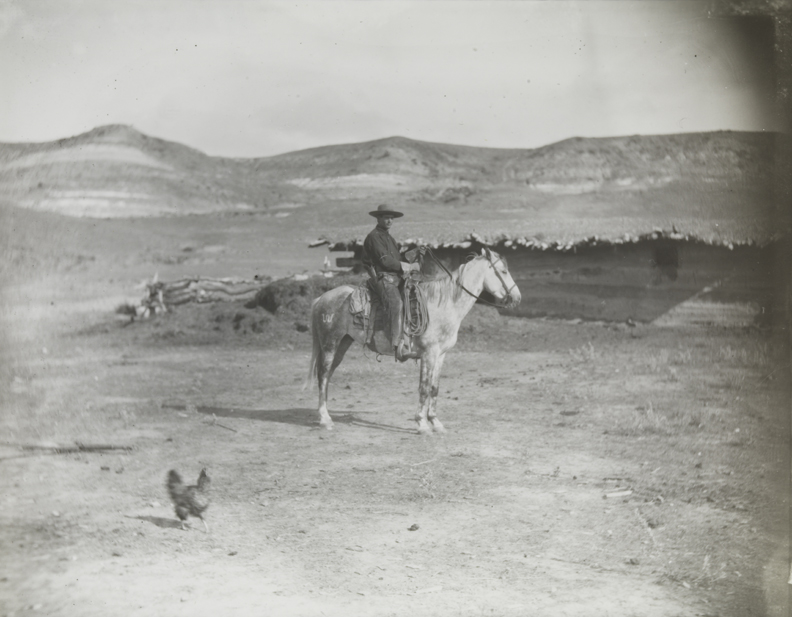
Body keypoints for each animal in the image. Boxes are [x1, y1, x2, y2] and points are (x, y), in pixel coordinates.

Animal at [304, 247, 521, 435]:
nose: (517, 297)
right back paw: (325, 419)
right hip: (330, 344)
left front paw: (436, 422)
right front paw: (422, 424)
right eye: (503, 271)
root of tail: (321, 299)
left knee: (327, 376)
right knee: (323, 375)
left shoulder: (441, 355)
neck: (443, 304)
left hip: (343, 344)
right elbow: (424, 388)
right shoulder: (428, 354)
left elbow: (434, 388)